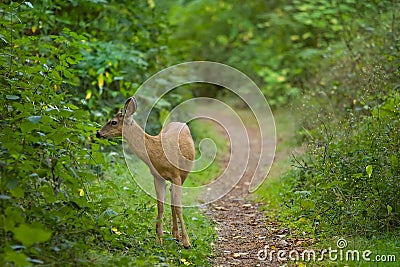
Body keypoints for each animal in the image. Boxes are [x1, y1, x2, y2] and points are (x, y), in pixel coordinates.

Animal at [97, 96, 197, 249]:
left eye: (113, 122)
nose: (98, 133)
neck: (158, 151)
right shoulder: (157, 177)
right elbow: (160, 206)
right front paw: (159, 239)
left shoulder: (176, 175)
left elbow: (178, 207)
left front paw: (187, 242)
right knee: (171, 198)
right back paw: (175, 235)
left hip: (185, 173)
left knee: (174, 201)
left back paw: (178, 236)